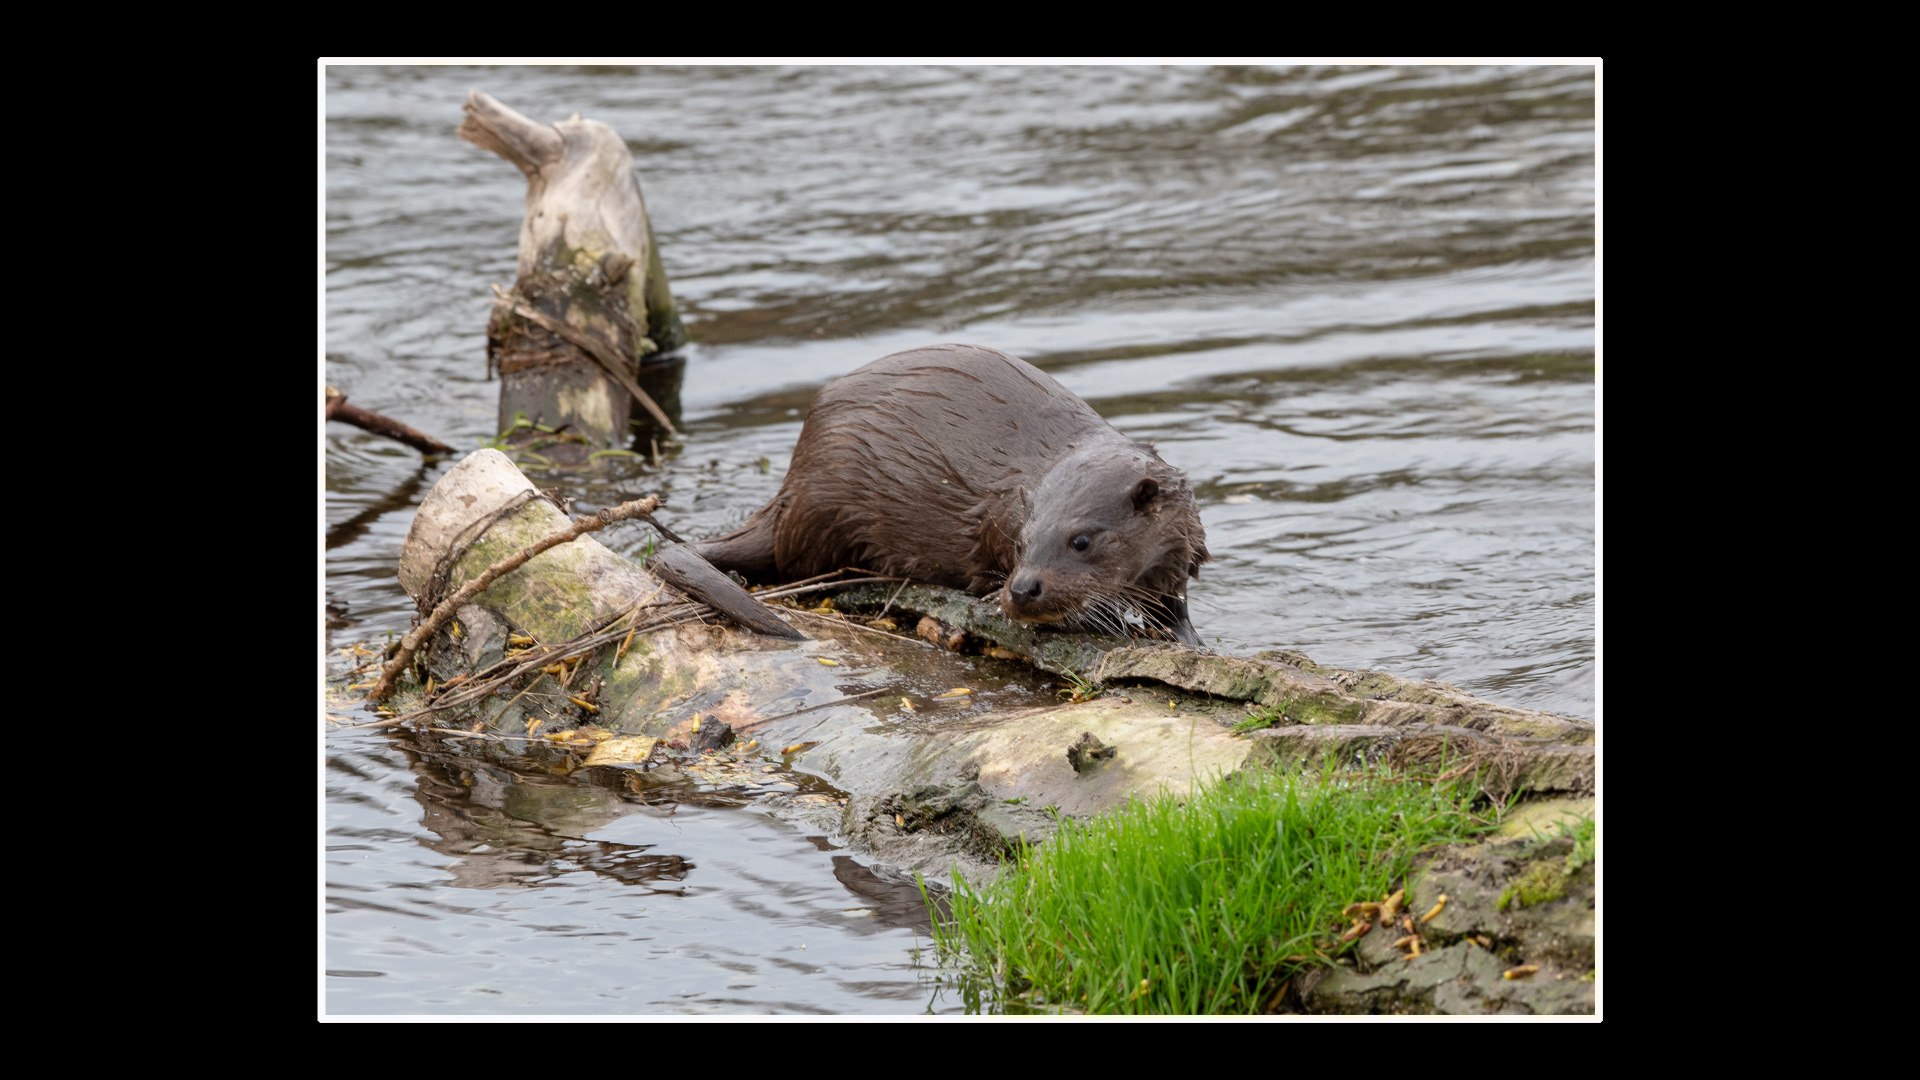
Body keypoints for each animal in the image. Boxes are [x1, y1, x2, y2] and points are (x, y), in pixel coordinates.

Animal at [692, 344, 1210, 645]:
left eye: (1081, 541)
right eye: (1021, 543)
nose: (1021, 590)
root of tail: (790, 492)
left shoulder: (1179, 547)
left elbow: (1174, 604)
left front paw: (1186, 638)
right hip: (826, 503)